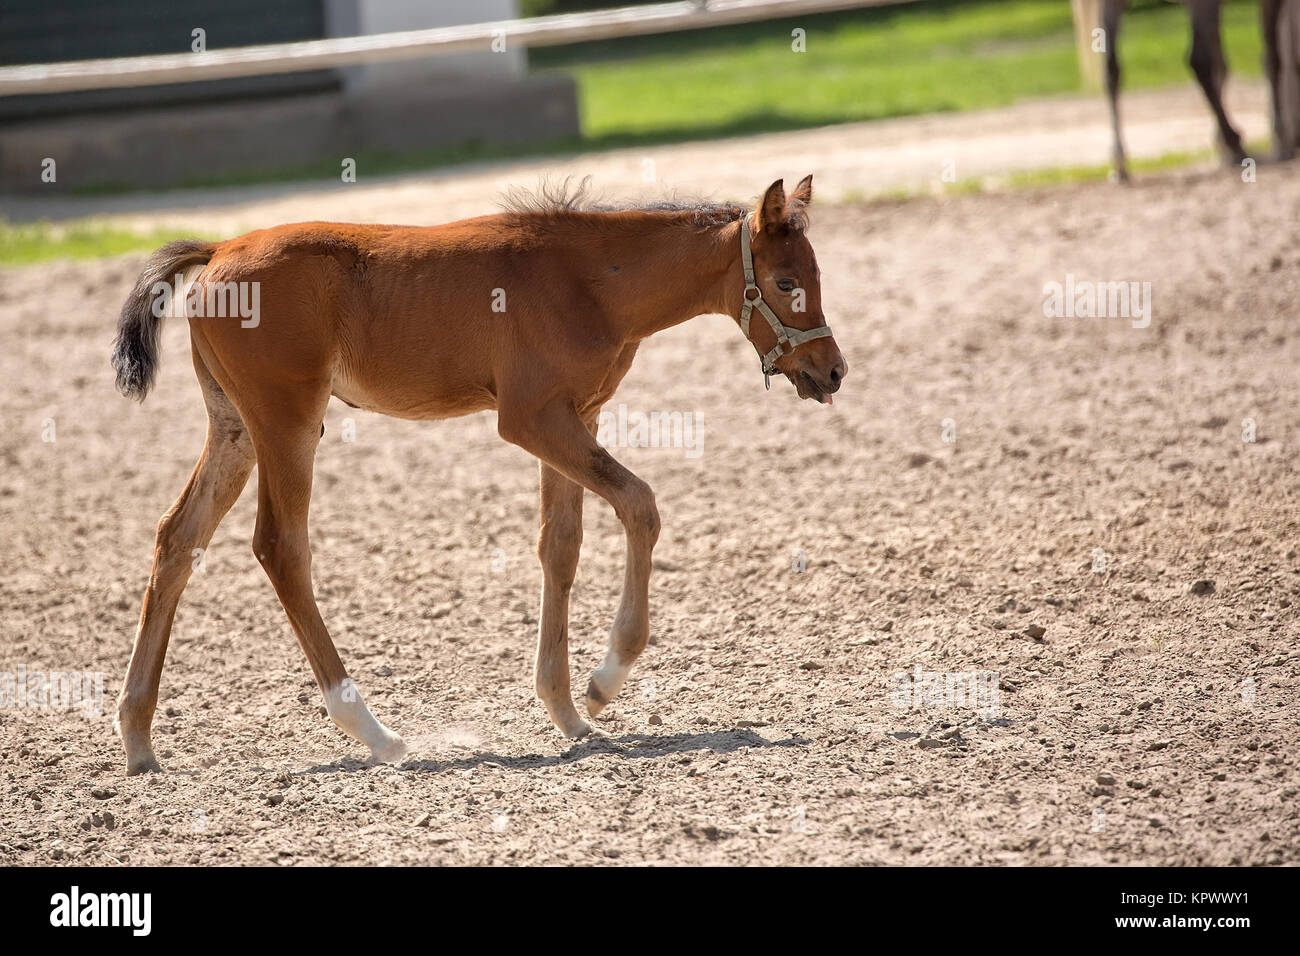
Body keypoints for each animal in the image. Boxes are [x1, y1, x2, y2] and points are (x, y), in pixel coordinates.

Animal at [109, 175, 842, 775]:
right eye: (785, 283)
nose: (832, 370)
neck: (588, 280)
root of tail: (218, 250)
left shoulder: (575, 417)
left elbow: (561, 546)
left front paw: (566, 711)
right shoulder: (530, 419)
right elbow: (640, 504)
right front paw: (603, 683)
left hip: (234, 428)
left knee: (177, 538)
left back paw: (138, 738)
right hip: (287, 422)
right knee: (280, 548)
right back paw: (374, 733)